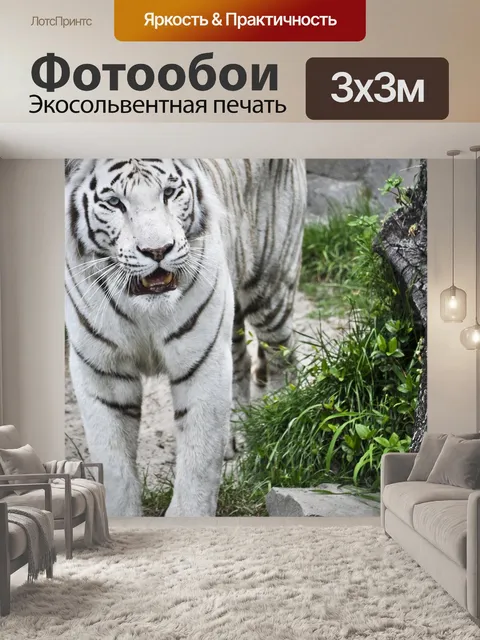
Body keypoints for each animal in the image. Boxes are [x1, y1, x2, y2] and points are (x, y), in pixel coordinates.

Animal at [65, 159, 307, 517]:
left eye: (169, 192)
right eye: (114, 203)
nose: (157, 251)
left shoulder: (201, 360)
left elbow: (198, 460)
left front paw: (189, 515)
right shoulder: (102, 370)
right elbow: (113, 462)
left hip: (270, 285)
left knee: (282, 357)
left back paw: (279, 425)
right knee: (241, 358)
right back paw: (235, 434)